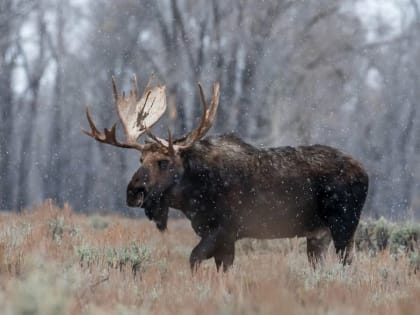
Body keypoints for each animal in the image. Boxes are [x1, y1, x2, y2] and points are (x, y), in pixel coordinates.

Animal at [83, 76, 370, 272]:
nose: (133, 192)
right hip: (318, 235)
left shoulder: (225, 230)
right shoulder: (220, 237)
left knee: (348, 263)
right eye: (141, 159)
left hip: (344, 225)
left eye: (164, 161)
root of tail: (366, 173)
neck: (191, 197)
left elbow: (193, 259)